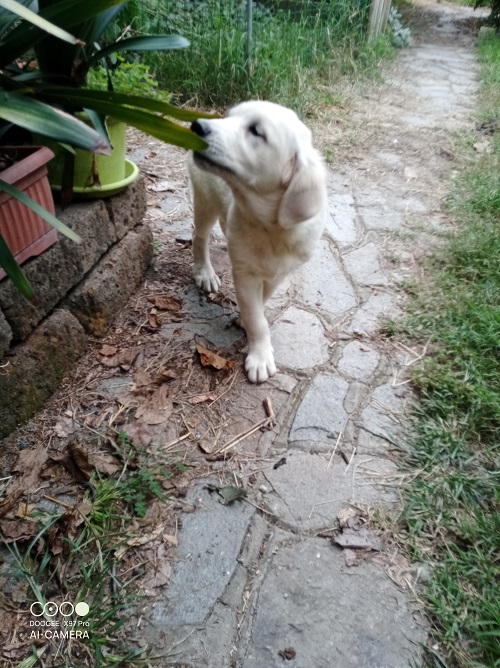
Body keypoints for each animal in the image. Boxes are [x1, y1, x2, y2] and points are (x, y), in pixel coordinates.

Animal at [189, 98, 326, 380]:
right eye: (228, 117)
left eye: (255, 131)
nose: (196, 126)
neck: (269, 227)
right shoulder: (244, 272)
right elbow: (257, 319)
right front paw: (261, 356)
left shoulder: (280, 273)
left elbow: (260, 303)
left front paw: (246, 318)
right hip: (205, 197)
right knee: (200, 236)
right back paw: (204, 272)